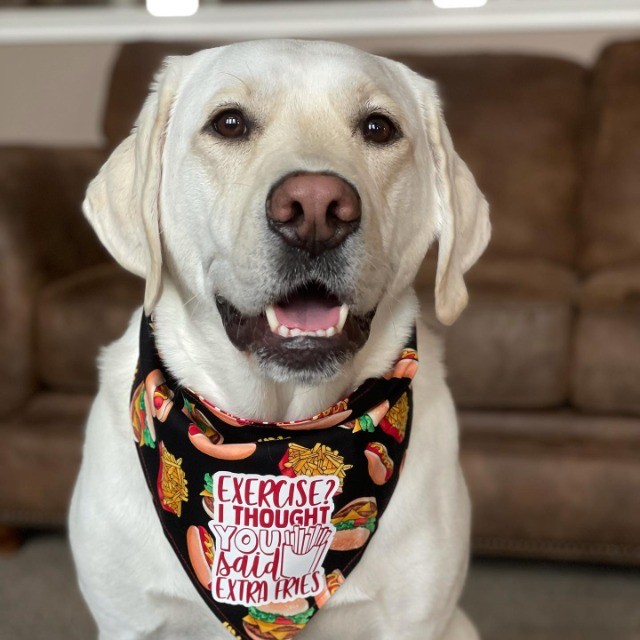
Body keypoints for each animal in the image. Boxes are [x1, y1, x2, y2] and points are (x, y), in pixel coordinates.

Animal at [69, 40, 490, 640]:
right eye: (228, 123)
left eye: (379, 127)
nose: (316, 208)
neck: (276, 430)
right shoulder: (129, 621)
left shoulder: (416, 621)